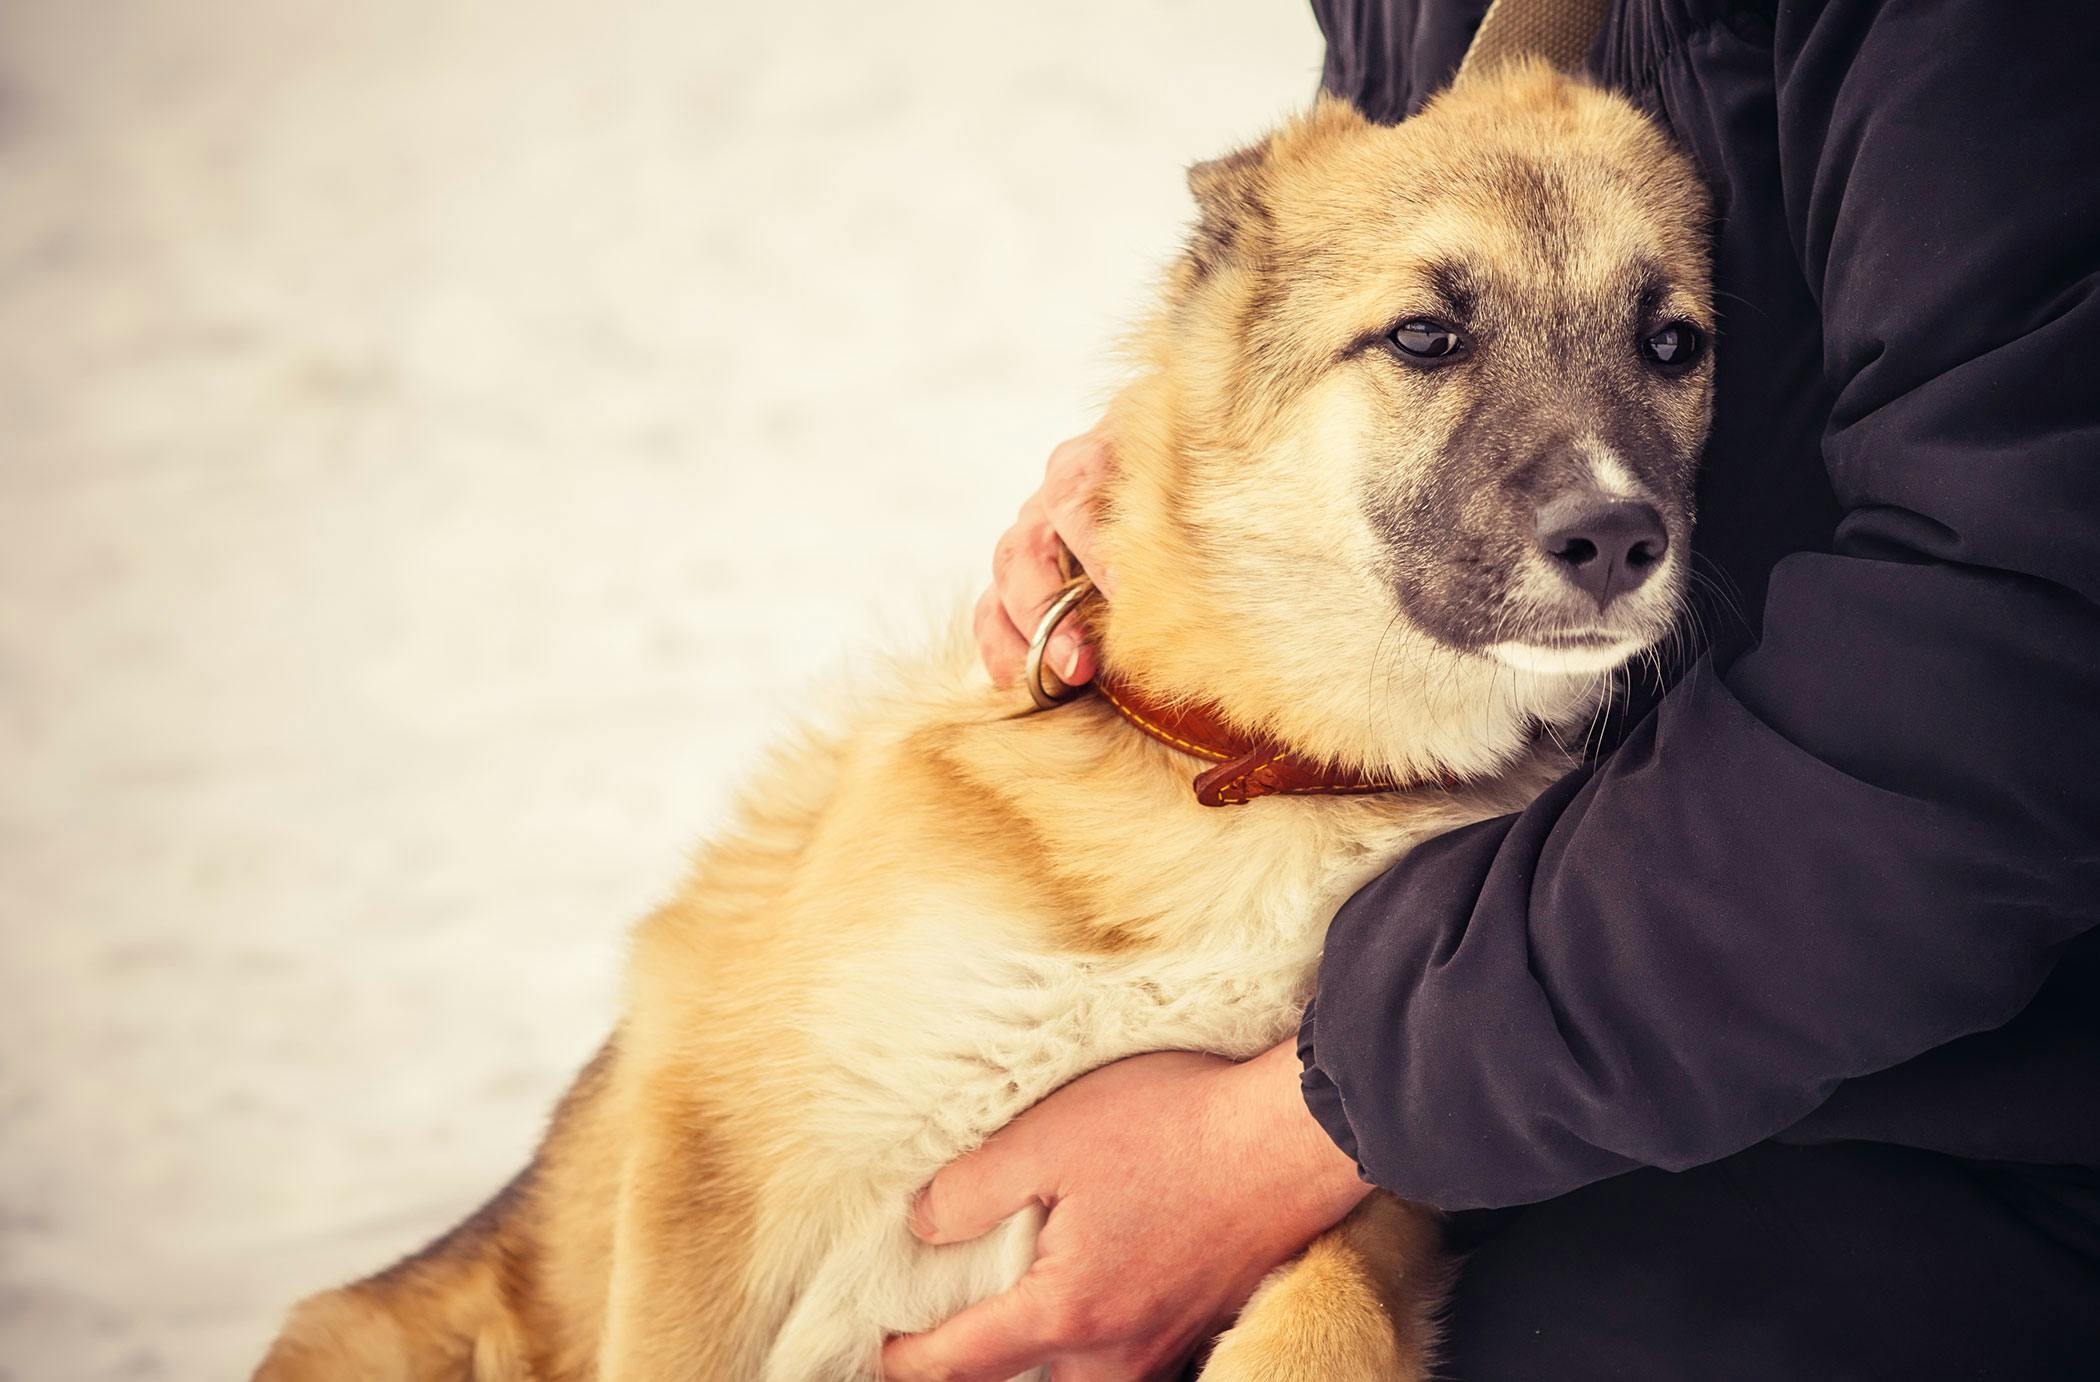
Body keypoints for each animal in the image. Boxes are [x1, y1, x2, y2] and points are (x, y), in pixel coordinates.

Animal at [258, 61, 1705, 1377]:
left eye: (1672, 343)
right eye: (1424, 336)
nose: (1619, 536)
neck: (1260, 779)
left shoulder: (1341, 1175)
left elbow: (1322, 1316)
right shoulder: (705, 1162)